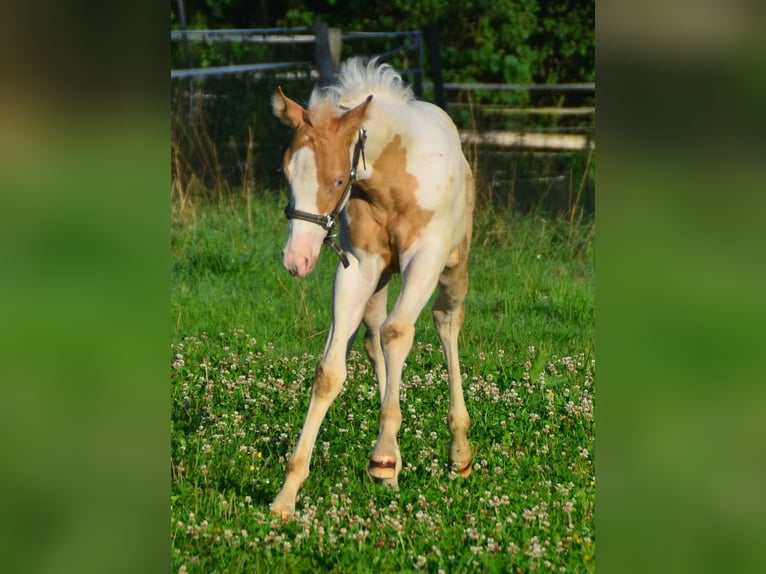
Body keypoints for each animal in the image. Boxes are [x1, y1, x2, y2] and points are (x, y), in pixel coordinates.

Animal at [270, 57, 474, 516]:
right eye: (286, 172)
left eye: (335, 181)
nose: (296, 259)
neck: (392, 181)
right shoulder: (359, 267)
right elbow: (329, 371)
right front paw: (287, 493)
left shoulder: (426, 258)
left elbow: (399, 333)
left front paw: (381, 458)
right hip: (380, 280)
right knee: (371, 335)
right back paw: (394, 462)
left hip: (454, 266)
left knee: (445, 321)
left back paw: (458, 452)